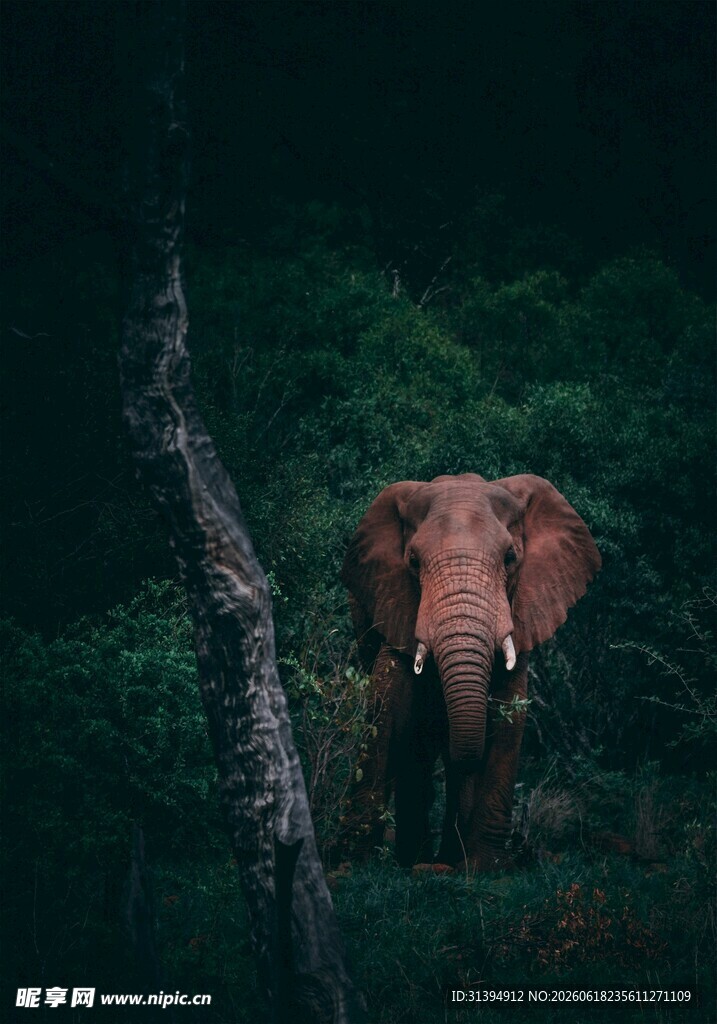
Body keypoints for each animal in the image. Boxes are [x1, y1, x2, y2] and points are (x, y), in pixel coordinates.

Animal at [341, 472, 600, 870]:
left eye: (510, 558)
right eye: (413, 561)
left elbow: (510, 712)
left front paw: (485, 867)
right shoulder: (394, 601)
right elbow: (389, 706)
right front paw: (354, 860)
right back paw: (418, 858)